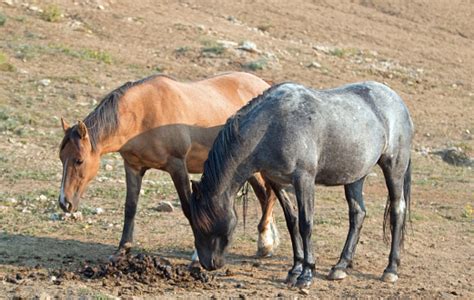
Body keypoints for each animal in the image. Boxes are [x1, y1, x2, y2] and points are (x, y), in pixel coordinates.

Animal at [59, 71, 282, 258]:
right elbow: (130, 207)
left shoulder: (177, 166)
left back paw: (265, 243)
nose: (64, 203)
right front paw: (122, 249)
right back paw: (268, 242)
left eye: (79, 160)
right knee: (264, 196)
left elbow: (189, 208)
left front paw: (198, 254)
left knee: (269, 195)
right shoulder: (133, 167)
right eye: (62, 158)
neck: (144, 114)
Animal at [183, 81, 412, 288]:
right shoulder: (278, 182)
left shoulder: (304, 180)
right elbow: (292, 222)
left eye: (204, 225)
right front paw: (295, 270)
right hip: (355, 176)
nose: (207, 263)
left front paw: (307, 274)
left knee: (397, 210)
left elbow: (305, 224)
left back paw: (391, 269)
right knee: (358, 214)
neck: (271, 125)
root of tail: (398, 101)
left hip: (394, 167)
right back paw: (340, 266)